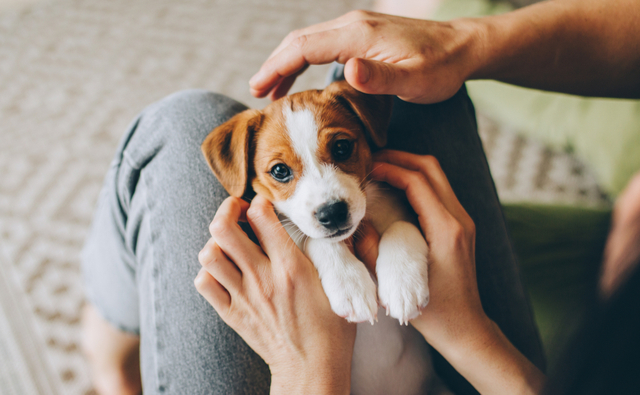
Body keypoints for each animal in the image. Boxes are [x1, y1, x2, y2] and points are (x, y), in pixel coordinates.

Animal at [201, 81, 440, 395]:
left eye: (341, 147)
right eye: (280, 170)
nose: (332, 213)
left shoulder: (406, 211)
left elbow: (402, 226)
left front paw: (403, 285)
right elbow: (316, 240)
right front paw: (349, 285)